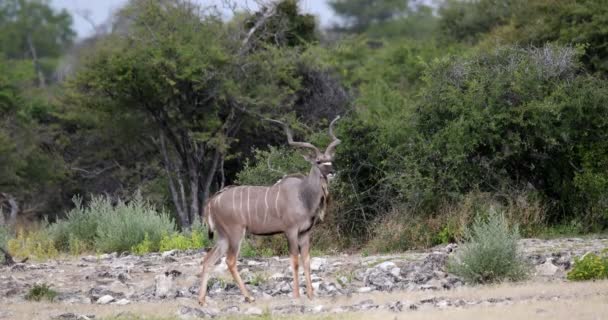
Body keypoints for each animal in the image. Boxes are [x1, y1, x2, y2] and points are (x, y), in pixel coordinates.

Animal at [200, 115, 342, 304]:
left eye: (330, 160)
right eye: (318, 162)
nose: (332, 172)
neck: (303, 195)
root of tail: (212, 201)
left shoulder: (305, 233)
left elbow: (306, 261)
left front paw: (311, 295)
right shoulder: (291, 231)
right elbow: (295, 261)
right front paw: (296, 295)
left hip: (223, 237)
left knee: (208, 260)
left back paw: (201, 300)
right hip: (236, 233)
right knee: (230, 261)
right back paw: (249, 297)